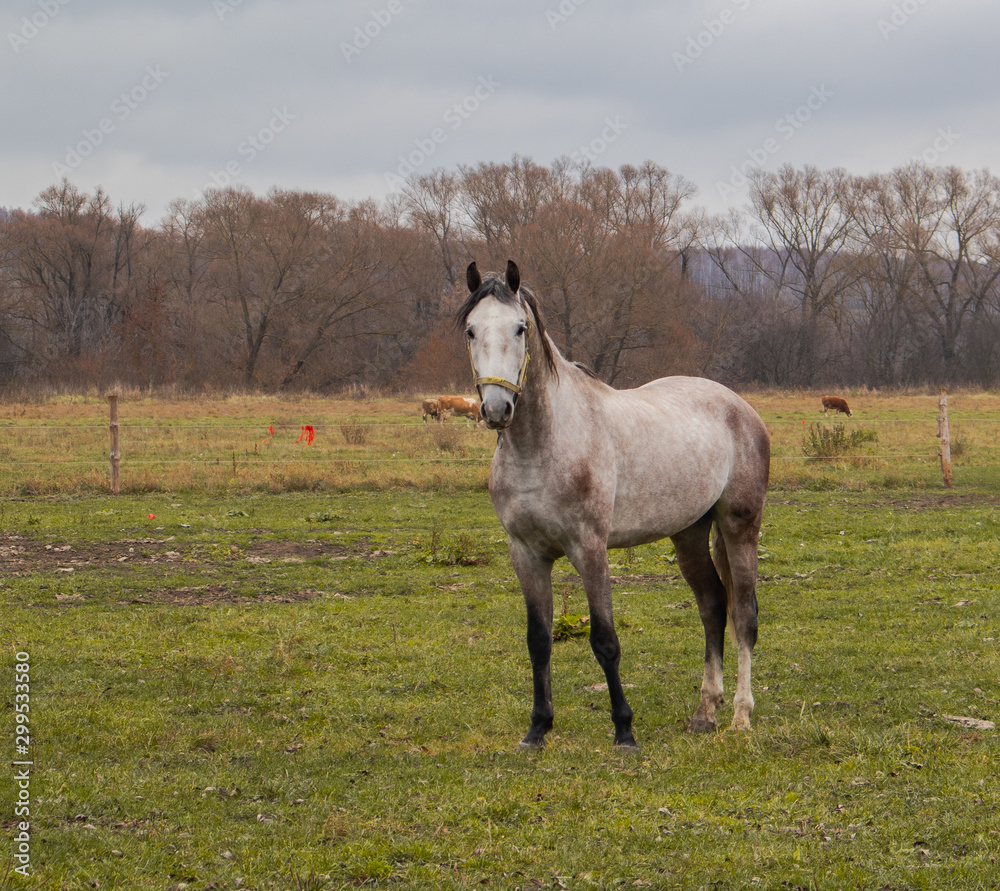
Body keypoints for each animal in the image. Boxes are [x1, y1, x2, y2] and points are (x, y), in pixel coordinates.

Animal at [460, 261, 770, 750]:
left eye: (520, 327)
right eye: (471, 330)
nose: (496, 408)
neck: (543, 446)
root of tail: (740, 407)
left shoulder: (590, 549)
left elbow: (605, 640)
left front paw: (624, 729)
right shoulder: (525, 553)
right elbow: (538, 640)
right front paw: (538, 728)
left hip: (741, 527)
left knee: (743, 614)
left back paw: (741, 715)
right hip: (689, 533)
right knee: (713, 606)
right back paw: (705, 712)